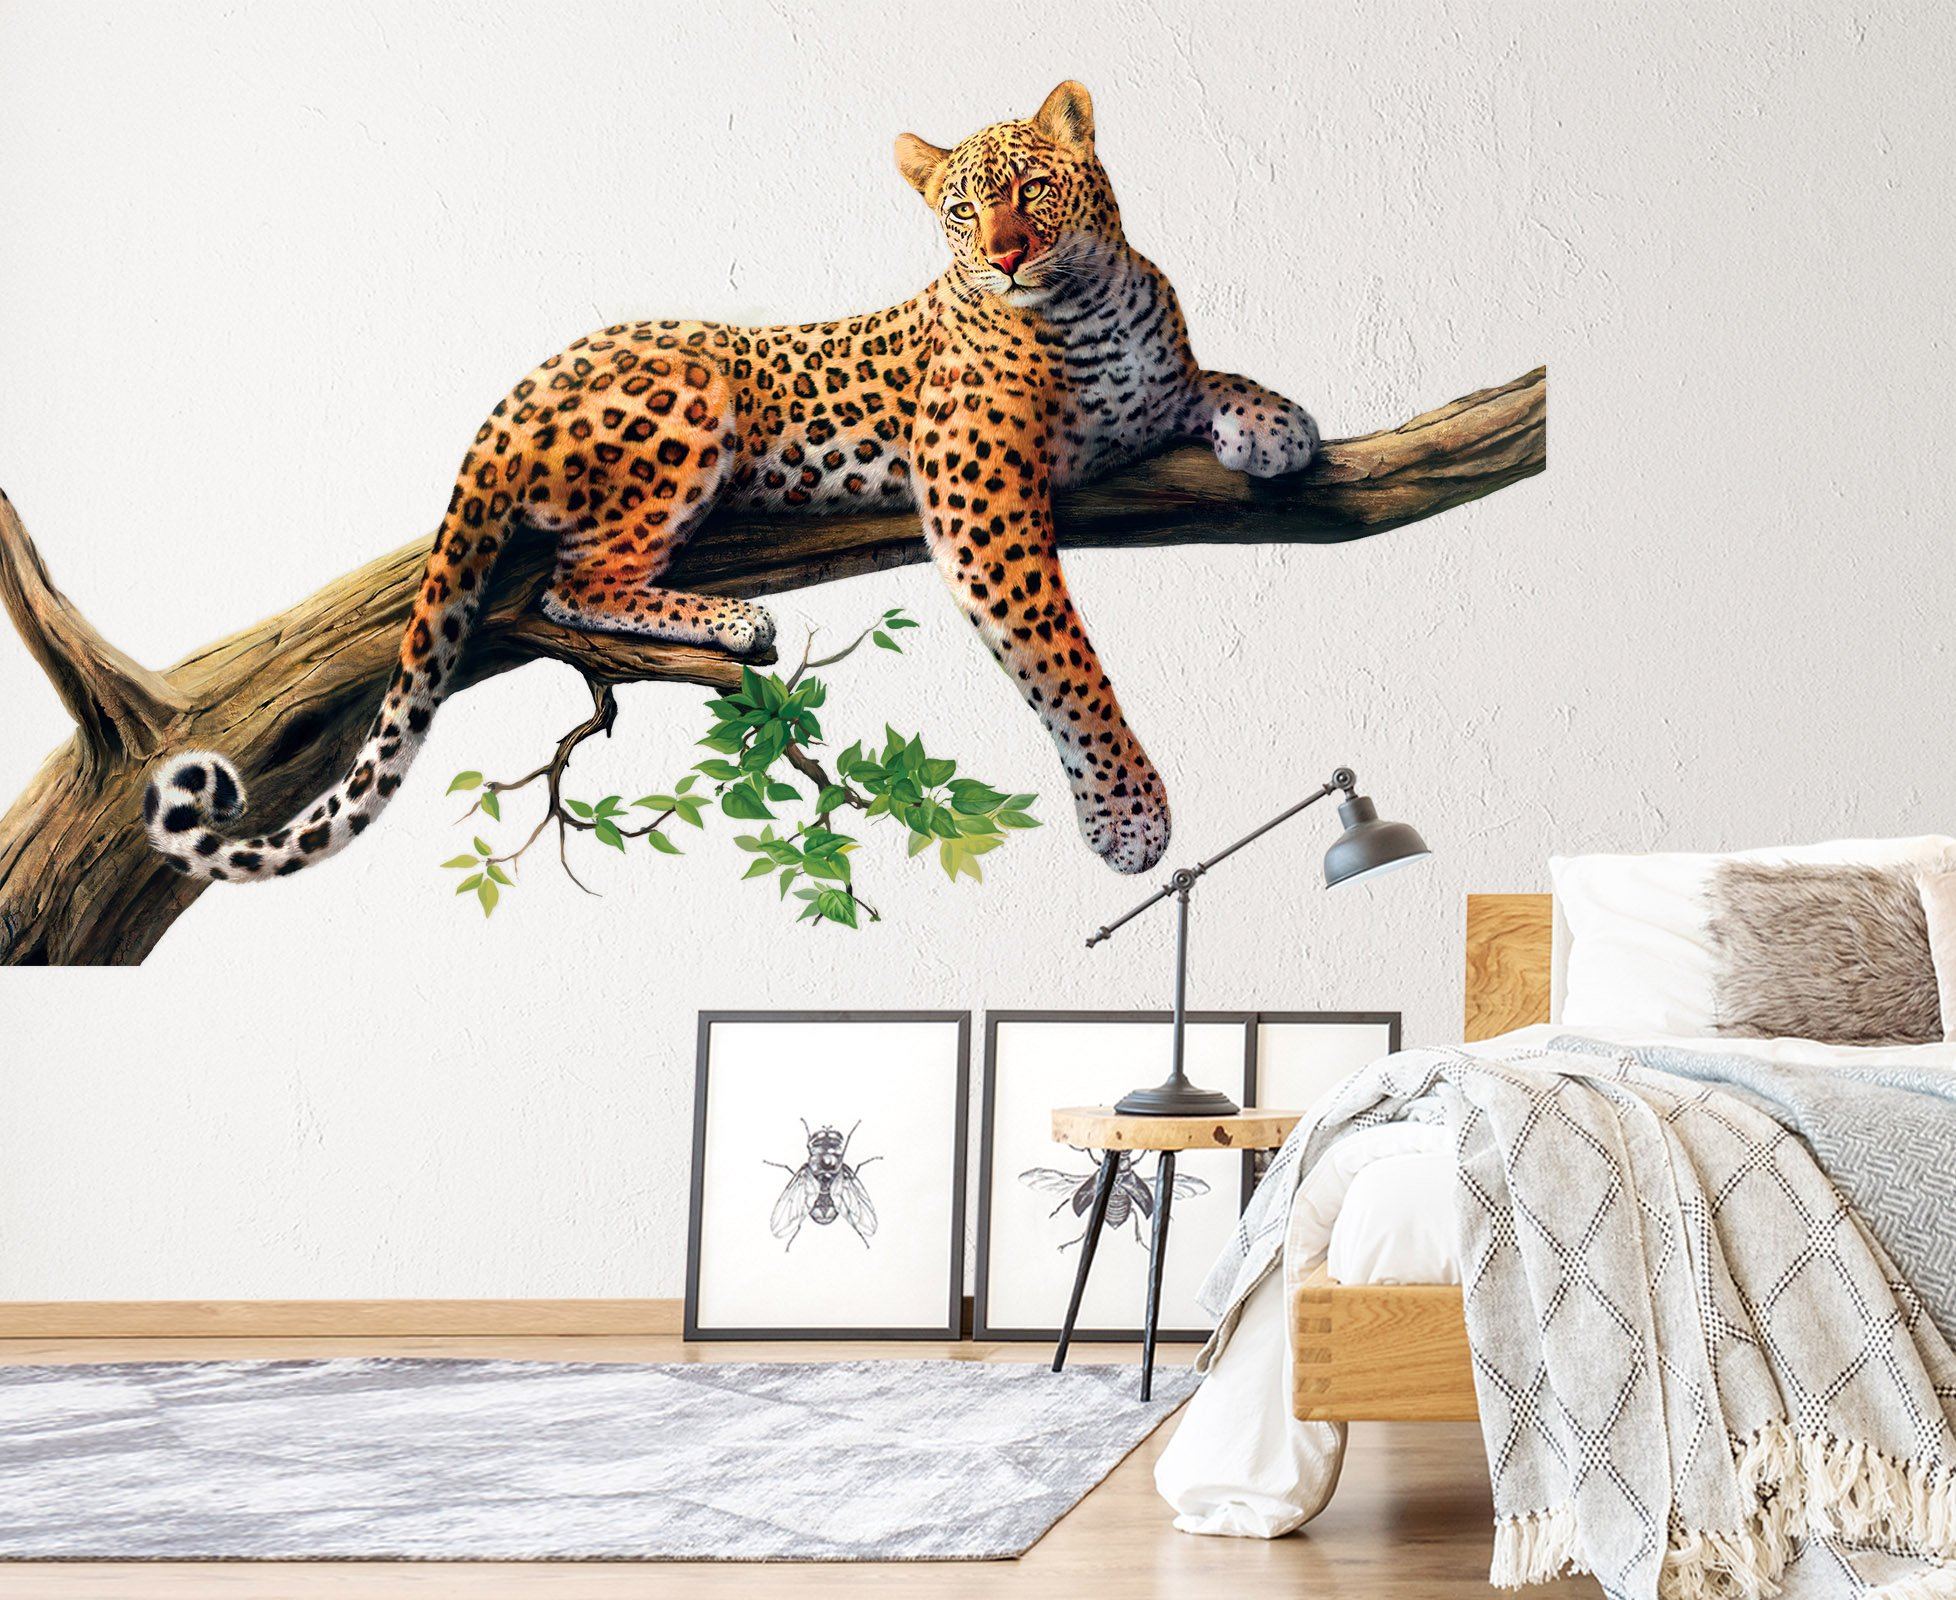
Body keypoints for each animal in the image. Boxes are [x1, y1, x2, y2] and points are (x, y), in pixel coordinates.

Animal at [144, 81, 1318, 887]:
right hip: (691, 396)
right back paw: (734, 621)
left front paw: (1277, 422)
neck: (1089, 301)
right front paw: (1128, 813)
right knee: (576, 580)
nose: (1005, 255)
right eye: (957, 210)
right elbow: (1064, 659)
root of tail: (506, 400)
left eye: (1030, 186)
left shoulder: (1145, 397)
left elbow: (1207, 377)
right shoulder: (979, 493)